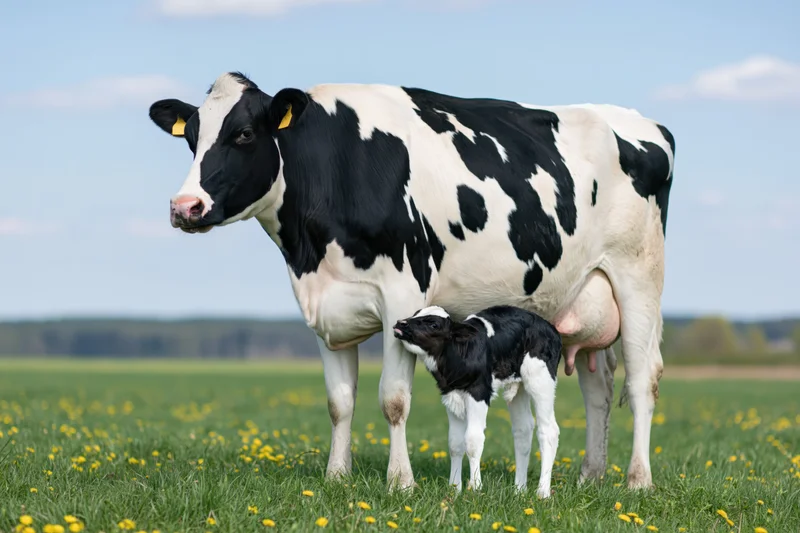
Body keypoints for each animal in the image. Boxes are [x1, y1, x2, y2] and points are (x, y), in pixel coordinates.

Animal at [147, 71, 675, 492]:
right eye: (192, 138)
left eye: (242, 134)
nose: (185, 207)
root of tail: (646, 123)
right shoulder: (323, 307)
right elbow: (339, 402)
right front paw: (336, 476)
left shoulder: (402, 294)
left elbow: (394, 400)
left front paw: (400, 481)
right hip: (583, 299)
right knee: (598, 388)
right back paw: (591, 476)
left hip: (639, 279)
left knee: (642, 379)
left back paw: (638, 480)